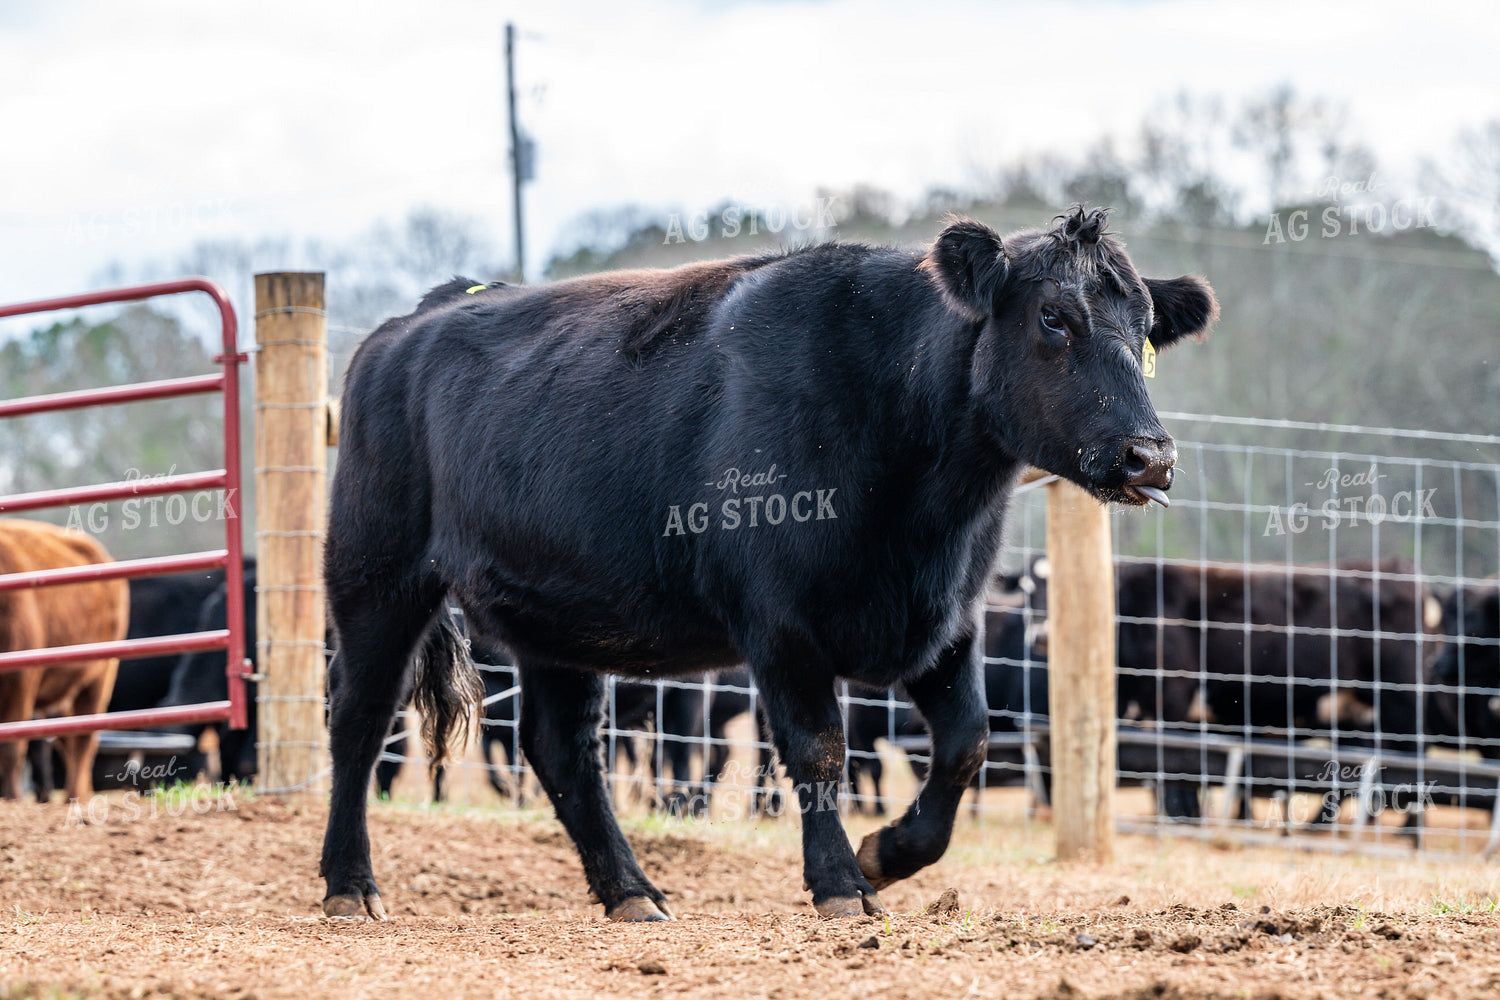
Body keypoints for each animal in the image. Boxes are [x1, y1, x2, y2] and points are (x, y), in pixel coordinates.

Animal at [0, 518, 129, 801]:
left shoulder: (20, 682)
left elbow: (12, 747)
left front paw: (11, 797)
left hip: (97, 681)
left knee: (83, 741)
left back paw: (75, 795)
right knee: (67, 740)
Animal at [318, 206, 1216, 921]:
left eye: (1143, 330)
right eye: (1054, 318)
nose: (1151, 457)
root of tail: (418, 320)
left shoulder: (948, 623)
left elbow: (966, 743)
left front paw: (888, 854)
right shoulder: (781, 625)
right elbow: (818, 749)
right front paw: (841, 884)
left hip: (553, 615)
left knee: (561, 747)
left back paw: (631, 891)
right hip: (377, 575)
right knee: (360, 719)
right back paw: (349, 884)